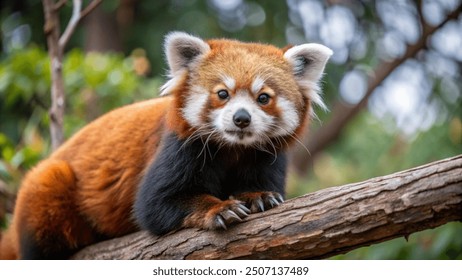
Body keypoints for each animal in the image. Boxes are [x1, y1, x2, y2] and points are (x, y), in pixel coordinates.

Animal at [0, 31, 332, 260]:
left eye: (263, 97)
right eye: (222, 94)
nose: (241, 118)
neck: (232, 149)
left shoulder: (267, 156)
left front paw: (257, 196)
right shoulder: (180, 146)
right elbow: (154, 205)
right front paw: (219, 208)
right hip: (47, 189)